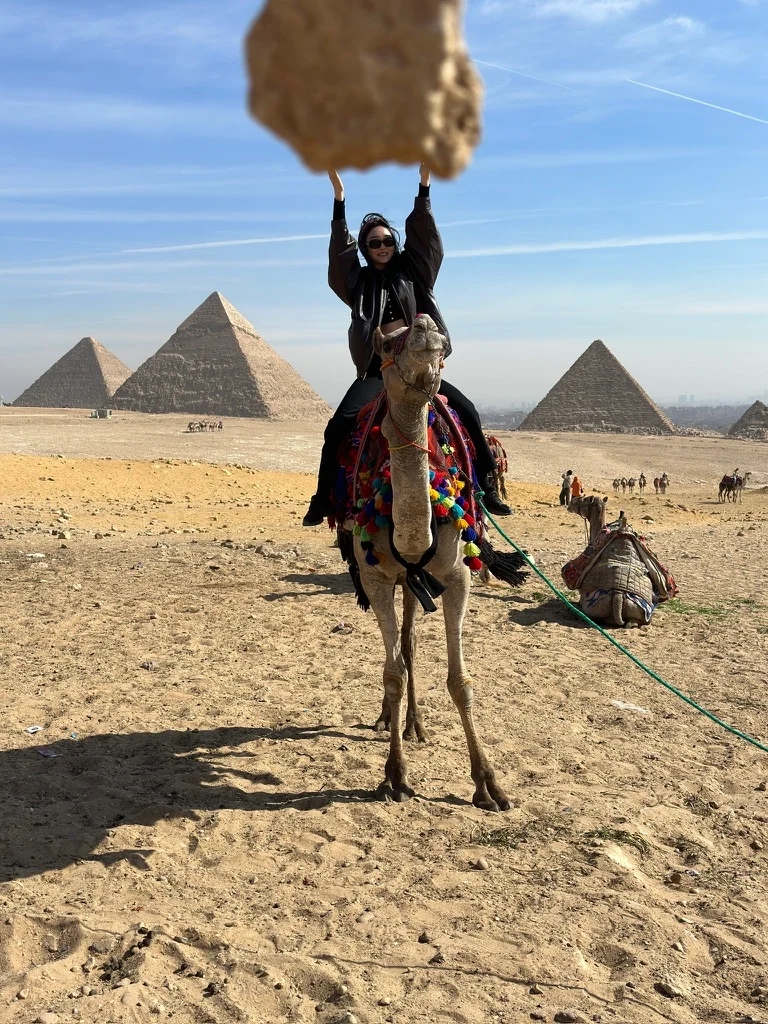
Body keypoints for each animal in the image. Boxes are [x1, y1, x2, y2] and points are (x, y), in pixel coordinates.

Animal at [347, 316, 513, 811]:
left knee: (411, 641)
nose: (422, 325)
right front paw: (395, 776)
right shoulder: (375, 578)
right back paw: (389, 719)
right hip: (397, 579)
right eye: (385, 344)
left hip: (416, 582)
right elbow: (392, 673)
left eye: (444, 338)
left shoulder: (457, 576)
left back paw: (414, 724)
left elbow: (460, 681)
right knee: (400, 650)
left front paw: (488, 783)